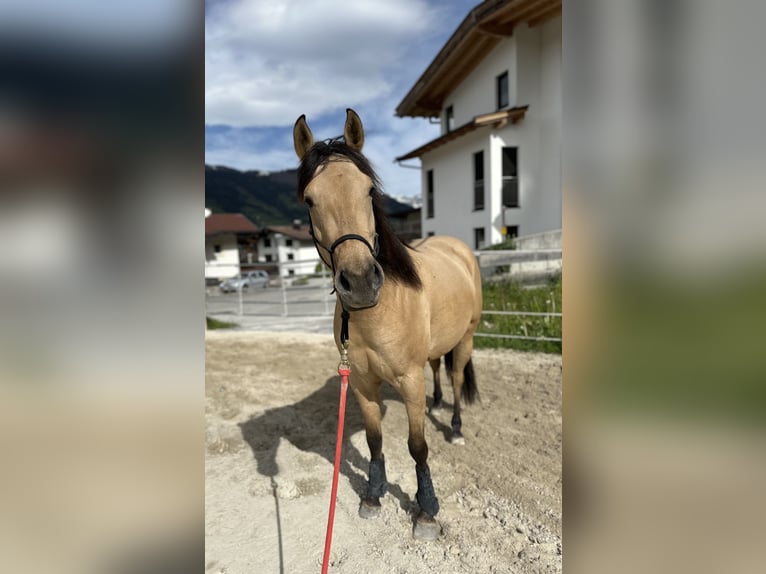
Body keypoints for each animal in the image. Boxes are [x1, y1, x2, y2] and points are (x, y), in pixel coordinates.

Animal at [293, 108, 482, 541]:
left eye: (368, 191)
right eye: (309, 199)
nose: (361, 282)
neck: (376, 313)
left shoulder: (407, 381)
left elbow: (417, 446)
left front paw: (426, 511)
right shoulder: (362, 383)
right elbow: (375, 440)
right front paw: (373, 495)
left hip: (466, 337)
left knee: (457, 377)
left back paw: (456, 428)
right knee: (438, 368)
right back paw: (438, 402)